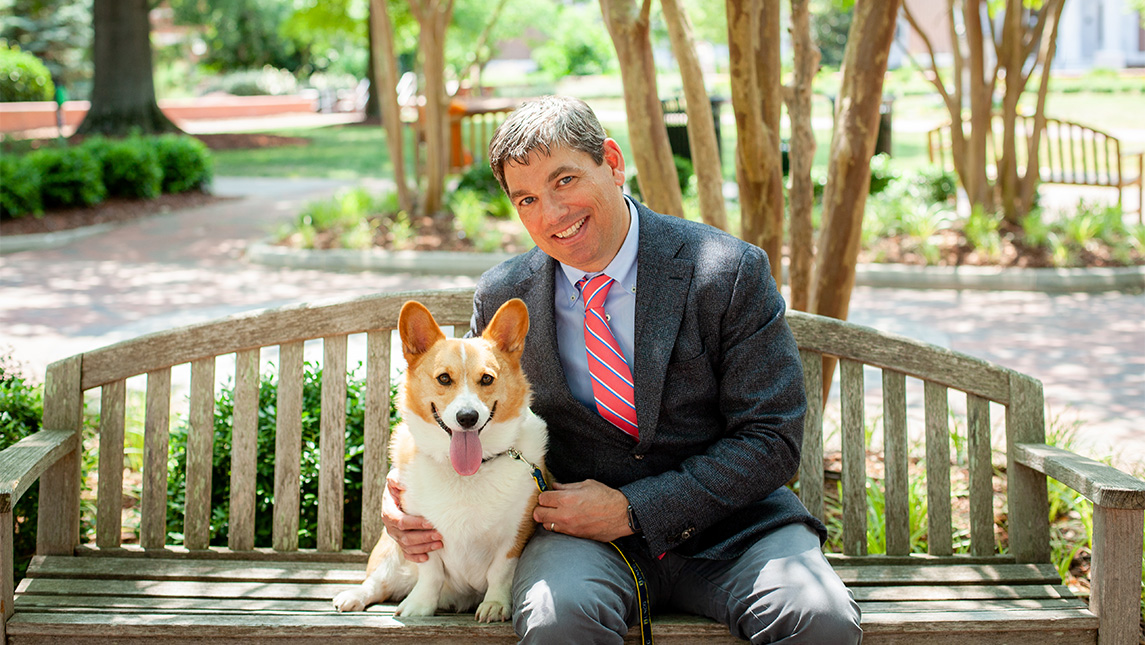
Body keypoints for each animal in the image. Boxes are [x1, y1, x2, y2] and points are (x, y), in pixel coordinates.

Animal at [334, 300, 547, 623]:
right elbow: (430, 573)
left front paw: (495, 605)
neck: (467, 472)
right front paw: (419, 606)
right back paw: (353, 596)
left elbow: (500, 572)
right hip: (390, 550)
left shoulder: (515, 534)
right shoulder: (420, 533)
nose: (467, 417)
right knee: (377, 582)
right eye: (444, 378)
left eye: (487, 379)